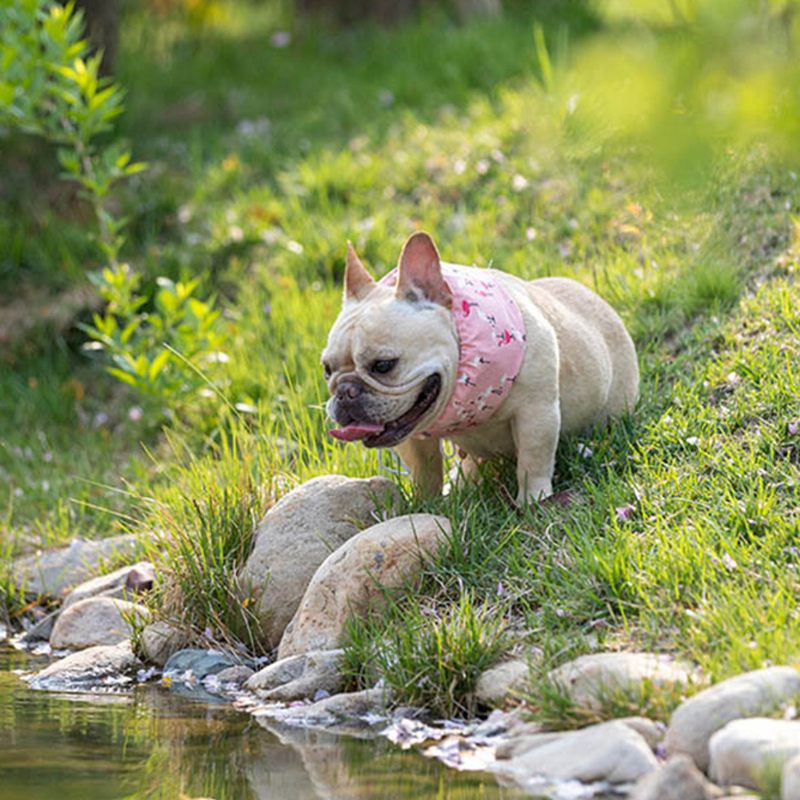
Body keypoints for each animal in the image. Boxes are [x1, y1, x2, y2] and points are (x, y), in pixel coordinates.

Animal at [322, 231, 640, 504]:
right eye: (326, 369)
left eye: (384, 365)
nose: (345, 391)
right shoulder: (410, 437)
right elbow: (425, 471)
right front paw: (426, 505)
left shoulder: (537, 413)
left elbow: (533, 460)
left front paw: (532, 501)